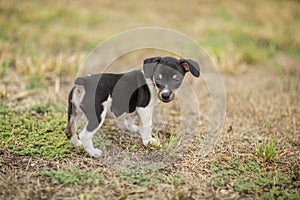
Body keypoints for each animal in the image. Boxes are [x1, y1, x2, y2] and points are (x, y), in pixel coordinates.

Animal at [64, 56, 200, 158]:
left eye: (176, 79)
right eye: (158, 78)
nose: (165, 95)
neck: (151, 80)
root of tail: (83, 82)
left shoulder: (133, 107)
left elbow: (130, 119)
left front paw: (132, 129)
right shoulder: (145, 109)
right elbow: (147, 126)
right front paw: (148, 141)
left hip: (74, 111)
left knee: (70, 130)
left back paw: (77, 144)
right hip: (97, 115)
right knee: (85, 134)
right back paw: (93, 152)